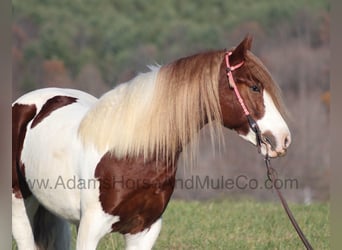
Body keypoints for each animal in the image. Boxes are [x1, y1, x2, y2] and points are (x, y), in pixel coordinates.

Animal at [12, 35, 292, 250]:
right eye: (255, 87)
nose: (283, 139)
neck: (130, 154)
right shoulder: (90, 228)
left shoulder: (144, 230)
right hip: (21, 205)